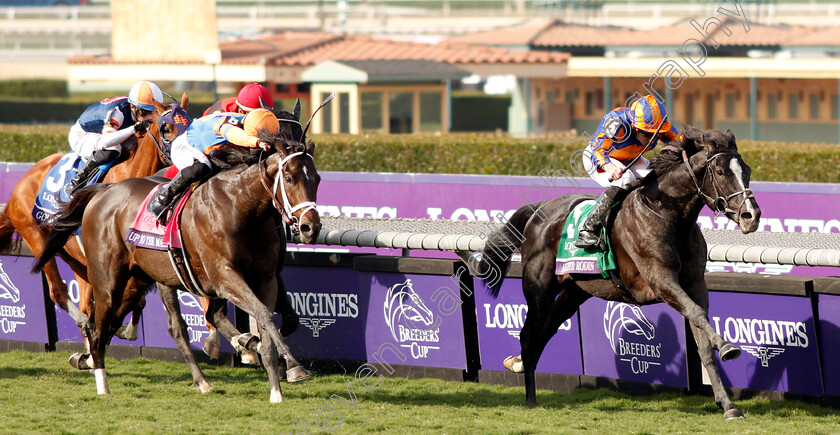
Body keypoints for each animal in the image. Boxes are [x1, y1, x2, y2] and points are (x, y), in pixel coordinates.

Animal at [0, 93, 187, 338]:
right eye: (167, 129)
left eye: (190, 121)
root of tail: (19, 187)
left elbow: (137, 298)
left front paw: (127, 330)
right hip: (36, 237)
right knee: (58, 291)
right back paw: (84, 322)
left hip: (73, 256)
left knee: (86, 304)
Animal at [33, 123, 322, 402]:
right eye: (289, 177)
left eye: (317, 179)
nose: (311, 227)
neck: (240, 207)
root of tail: (104, 191)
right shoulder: (224, 277)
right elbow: (263, 315)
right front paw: (293, 365)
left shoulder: (266, 279)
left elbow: (266, 323)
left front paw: (276, 388)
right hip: (108, 281)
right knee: (100, 327)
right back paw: (103, 384)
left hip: (140, 280)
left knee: (142, 327)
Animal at [480, 126, 760, 418]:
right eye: (721, 172)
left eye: (747, 170)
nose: (752, 216)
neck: (669, 215)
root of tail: (539, 210)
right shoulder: (661, 280)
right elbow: (696, 313)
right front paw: (727, 346)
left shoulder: (695, 283)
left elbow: (702, 337)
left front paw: (728, 405)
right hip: (539, 290)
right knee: (528, 335)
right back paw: (530, 397)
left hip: (573, 292)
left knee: (545, 331)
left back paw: (518, 364)